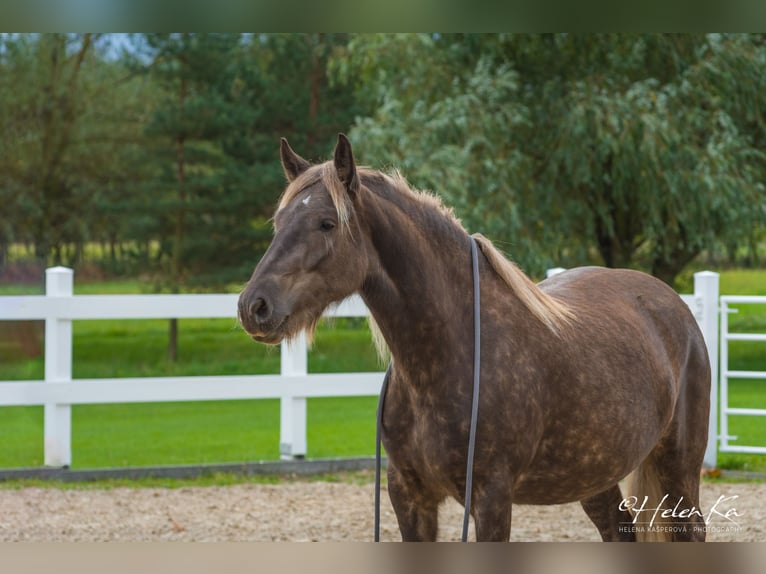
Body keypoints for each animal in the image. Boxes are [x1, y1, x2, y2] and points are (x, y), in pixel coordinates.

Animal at [238, 134, 711, 542]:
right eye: (279, 221)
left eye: (326, 223)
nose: (253, 306)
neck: (449, 355)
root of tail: (674, 304)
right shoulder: (409, 496)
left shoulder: (491, 497)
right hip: (594, 476)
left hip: (678, 469)